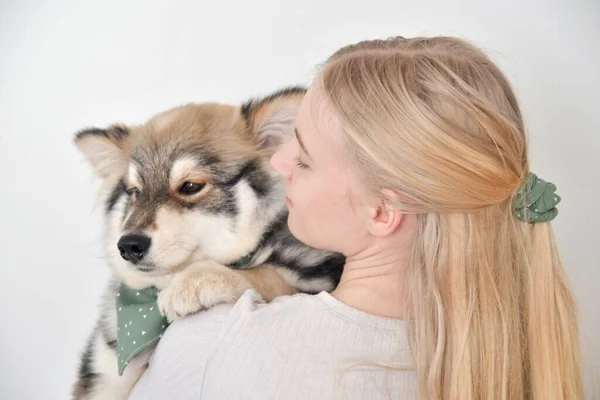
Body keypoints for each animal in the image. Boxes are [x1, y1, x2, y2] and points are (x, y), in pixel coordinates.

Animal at [71, 88, 344, 400]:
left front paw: (195, 281)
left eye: (190, 186)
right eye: (134, 191)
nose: (128, 245)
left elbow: (267, 274)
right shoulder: (101, 374)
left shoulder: (321, 279)